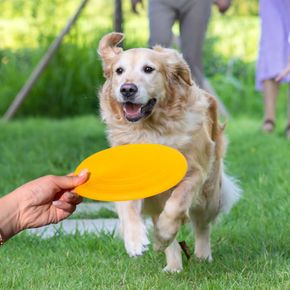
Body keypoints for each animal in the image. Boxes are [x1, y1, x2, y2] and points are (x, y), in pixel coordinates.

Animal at [97, 32, 240, 272]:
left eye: (148, 69)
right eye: (119, 70)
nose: (127, 89)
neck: (150, 131)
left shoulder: (195, 172)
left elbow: (177, 204)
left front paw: (163, 232)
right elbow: (128, 207)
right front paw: (135, 240)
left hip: (210, 192)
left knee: (202, 224)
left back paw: (201, 255)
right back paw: (173, 266)